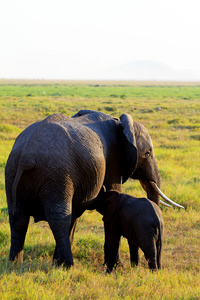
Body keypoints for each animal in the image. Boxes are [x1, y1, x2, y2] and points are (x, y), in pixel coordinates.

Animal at [4, 109, 183, 268]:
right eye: (147, 153)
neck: (121, 124)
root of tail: (27, 157)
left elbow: (76, 212)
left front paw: (56, 262)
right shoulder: (113, 160)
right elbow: (114, 196)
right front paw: (118, 266)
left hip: (12, 172)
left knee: (18, 218)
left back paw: (15, 265)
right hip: (57, 175)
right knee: (59, 218)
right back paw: (69, 266)